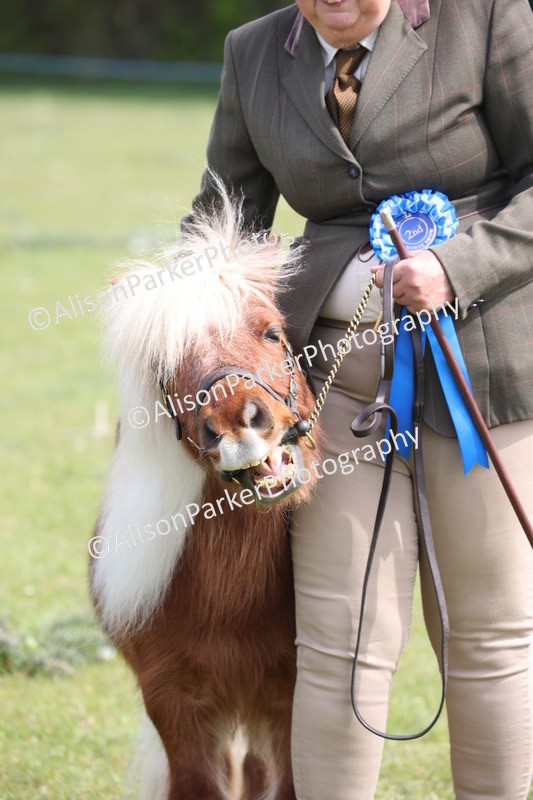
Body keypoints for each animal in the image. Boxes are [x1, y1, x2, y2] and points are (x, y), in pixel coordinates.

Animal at [89, 185, 322, 800]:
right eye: (168, 370)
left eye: (272, 332)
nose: (238, 424)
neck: (228, 601)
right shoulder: (172, 700)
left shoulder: (292, 696)